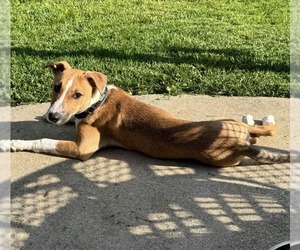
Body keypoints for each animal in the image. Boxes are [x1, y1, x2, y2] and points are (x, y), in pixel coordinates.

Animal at [0, 60, 290, 166]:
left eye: (77, 95)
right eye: (56, 87)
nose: (52, 116)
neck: (98, 100)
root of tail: (237, 144)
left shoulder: (85, 148)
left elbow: (43, 141)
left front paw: (10, 143)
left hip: (223, 122)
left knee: (265, 128)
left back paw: (259, 118)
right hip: (229, 126)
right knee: (261, 132)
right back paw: (254, 120)